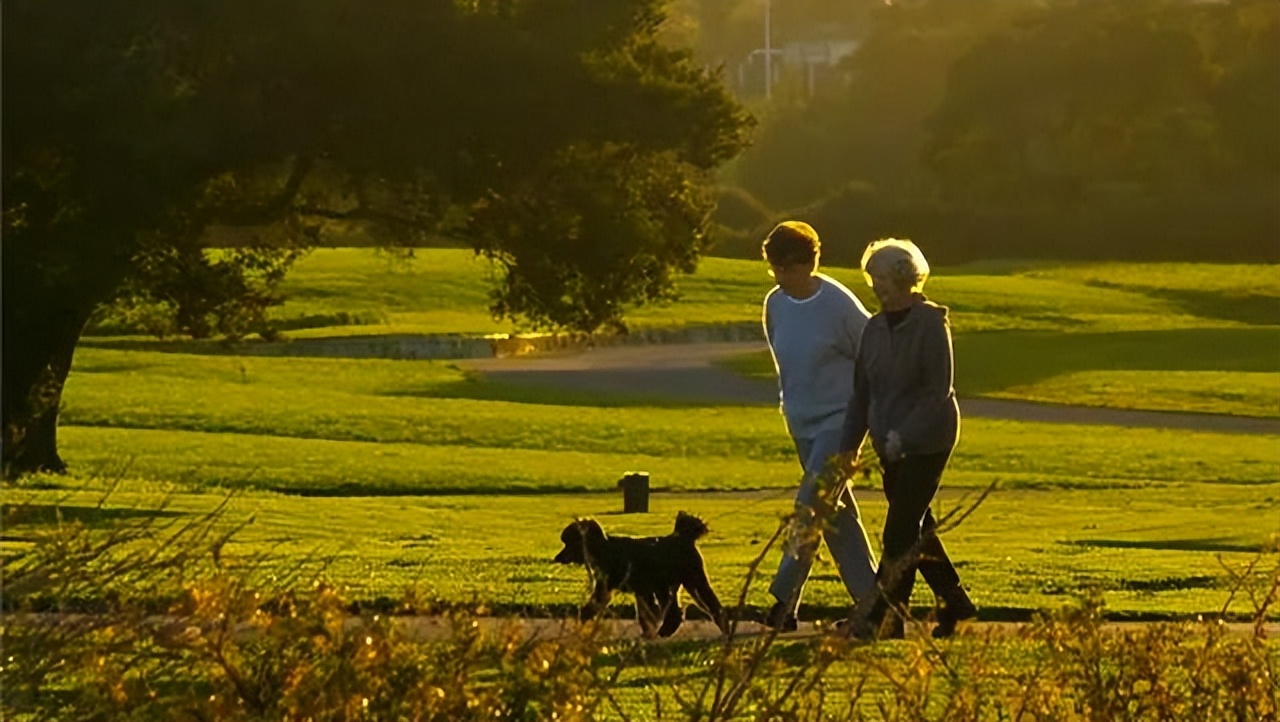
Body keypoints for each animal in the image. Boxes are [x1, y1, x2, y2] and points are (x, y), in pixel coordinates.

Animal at [552, 512, 732, 637]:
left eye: (568, 543)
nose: (557, 558)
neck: (603, 550)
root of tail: (683, 538)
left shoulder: (610, 586)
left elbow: (597, 603)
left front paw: (581, 619)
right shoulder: (642, 589)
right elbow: (647, 613)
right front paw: (648, 632)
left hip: (676, 580)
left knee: (678, 610)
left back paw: (666, 631)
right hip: (686, 581)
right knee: (705, 605)